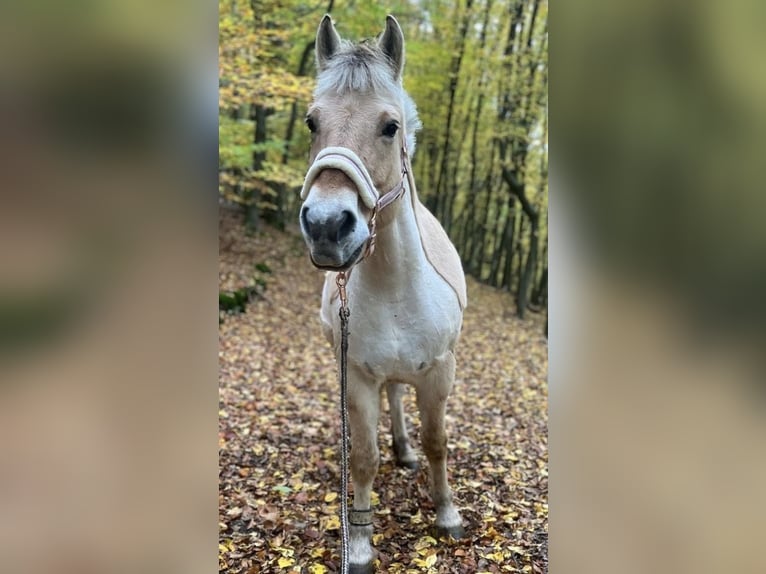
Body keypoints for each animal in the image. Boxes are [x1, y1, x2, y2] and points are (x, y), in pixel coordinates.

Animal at [299, 15, 468, 573]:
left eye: (389, 126)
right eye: (311, 122)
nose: (327, 226)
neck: (397, 288)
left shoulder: (439, 373)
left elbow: (438, 442)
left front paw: (447, 514)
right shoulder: (357, 377)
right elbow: (364, 458)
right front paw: (360, 543)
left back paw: (406, 450)